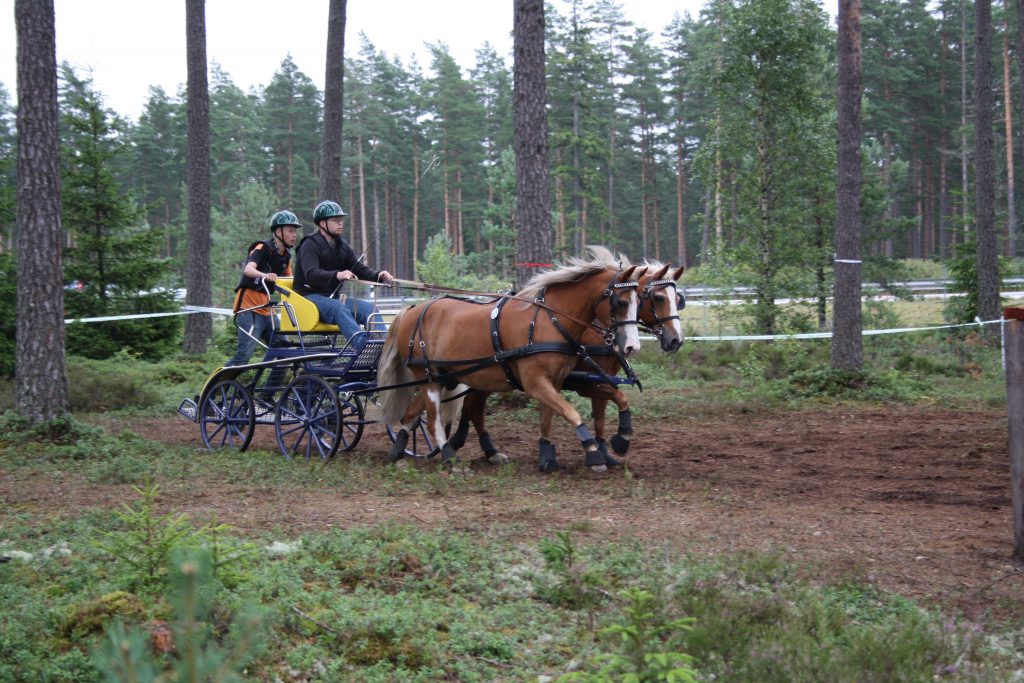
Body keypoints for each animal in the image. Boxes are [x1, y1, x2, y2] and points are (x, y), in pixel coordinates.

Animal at [378, 248, 638, 473]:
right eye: (622, 302)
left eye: (640, 301)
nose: (631, 346)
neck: (548, 320)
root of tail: (411, 310)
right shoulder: (536, 383)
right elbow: (572, 413)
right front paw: (594, 453)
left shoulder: (554, 382)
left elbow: (548, 419)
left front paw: (548, 456)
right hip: (428, 377)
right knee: (433, 422)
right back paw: (451, 459)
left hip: (441, 377)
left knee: (412, 415)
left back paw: (397, 453)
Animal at [450, 264, 688, 471]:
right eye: (658, 298)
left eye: (678, 299)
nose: (675, 340)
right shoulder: (586, 384)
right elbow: (611, 403)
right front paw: (610, 445)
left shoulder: (602, 379)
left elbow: (606, 413)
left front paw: (608, 450)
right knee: (473, 408)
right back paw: (466, 446)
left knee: (473, 407)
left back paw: (481, 449)